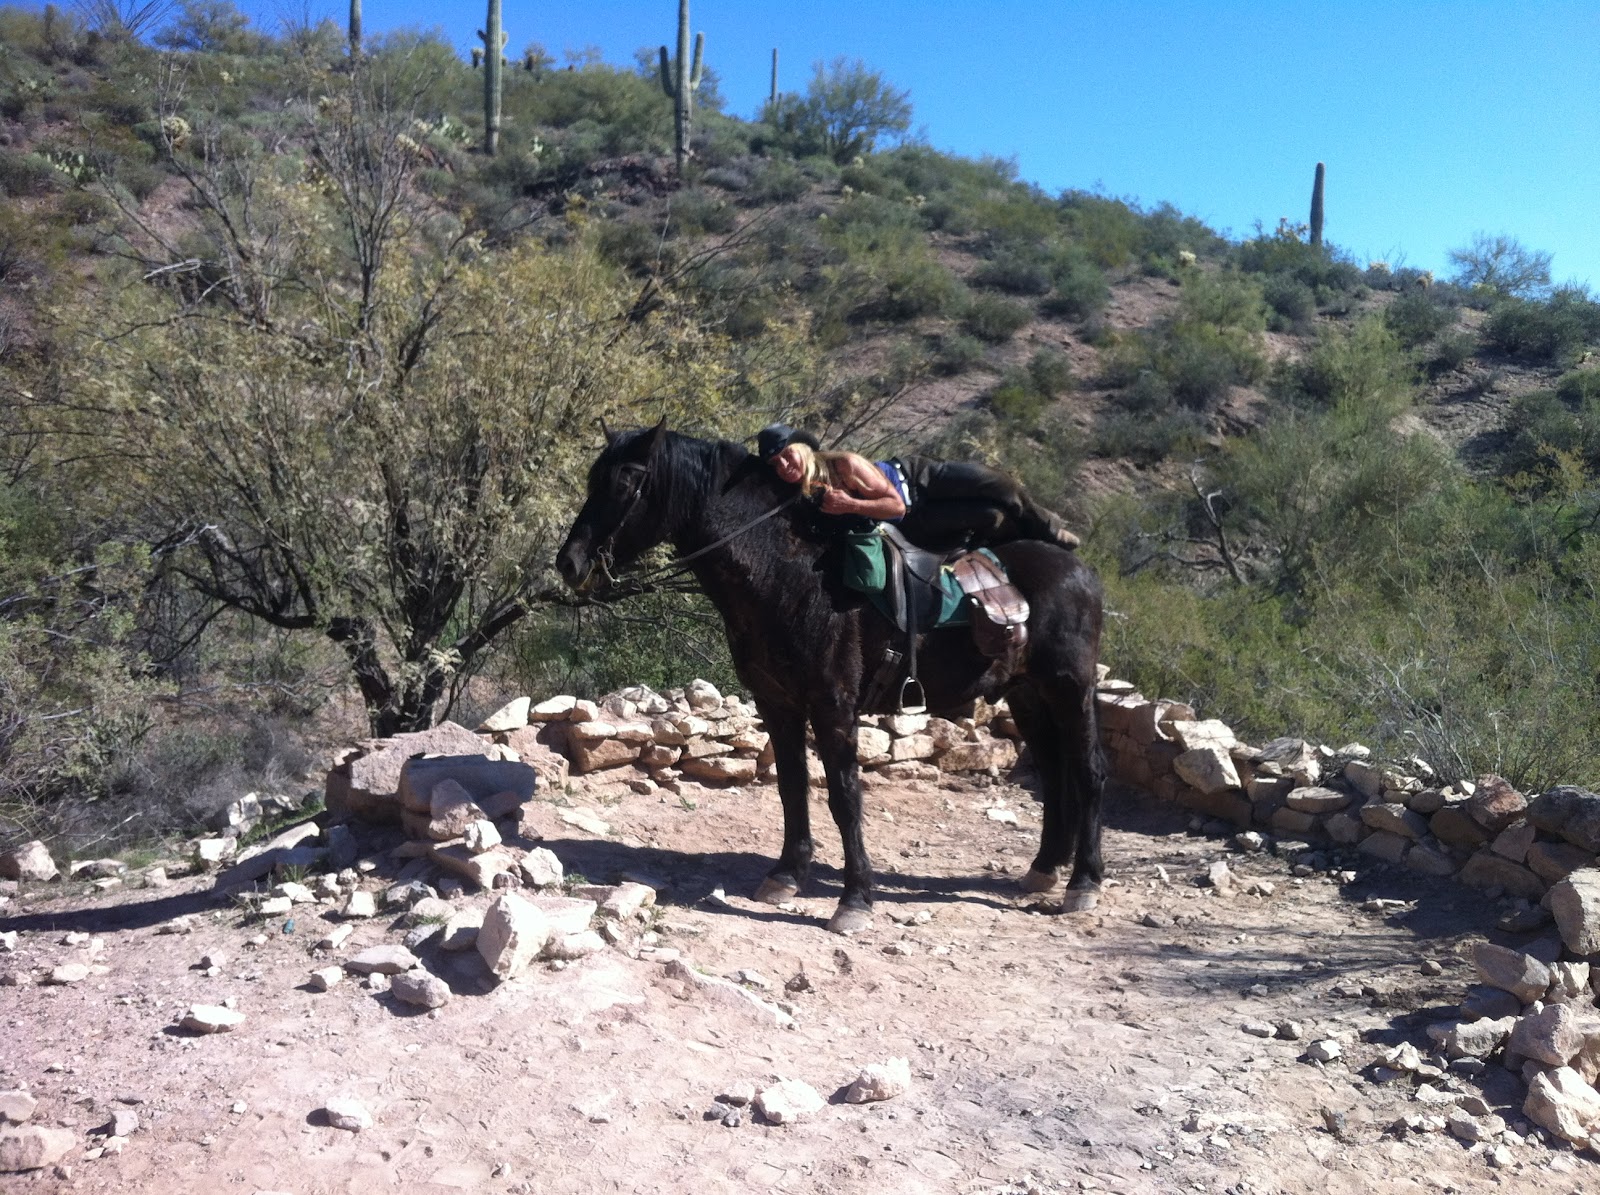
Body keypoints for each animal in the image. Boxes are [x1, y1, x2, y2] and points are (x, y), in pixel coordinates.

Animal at [555, 423, 1107, 934]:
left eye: (628, 481)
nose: (570, 562)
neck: (794, 578)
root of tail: (1079, 570)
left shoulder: (833, 705)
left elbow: (844, 796)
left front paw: (855, 899)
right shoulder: (777, 703)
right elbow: (792, 787)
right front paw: (786, 875)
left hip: (1071, 688)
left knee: (1088, 772)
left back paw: (1084, 882)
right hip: (1028, 694)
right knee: (1054, 772)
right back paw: (1044, 869)